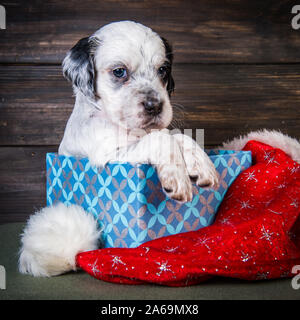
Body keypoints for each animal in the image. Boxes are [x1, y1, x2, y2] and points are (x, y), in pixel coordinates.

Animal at [19, 21, 219, 278]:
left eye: (163, 70)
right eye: (119, 71)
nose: (155, 106)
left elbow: (176, 135)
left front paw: (201, 163)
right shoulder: (110, 156)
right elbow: (161, 139)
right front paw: (177, 176)